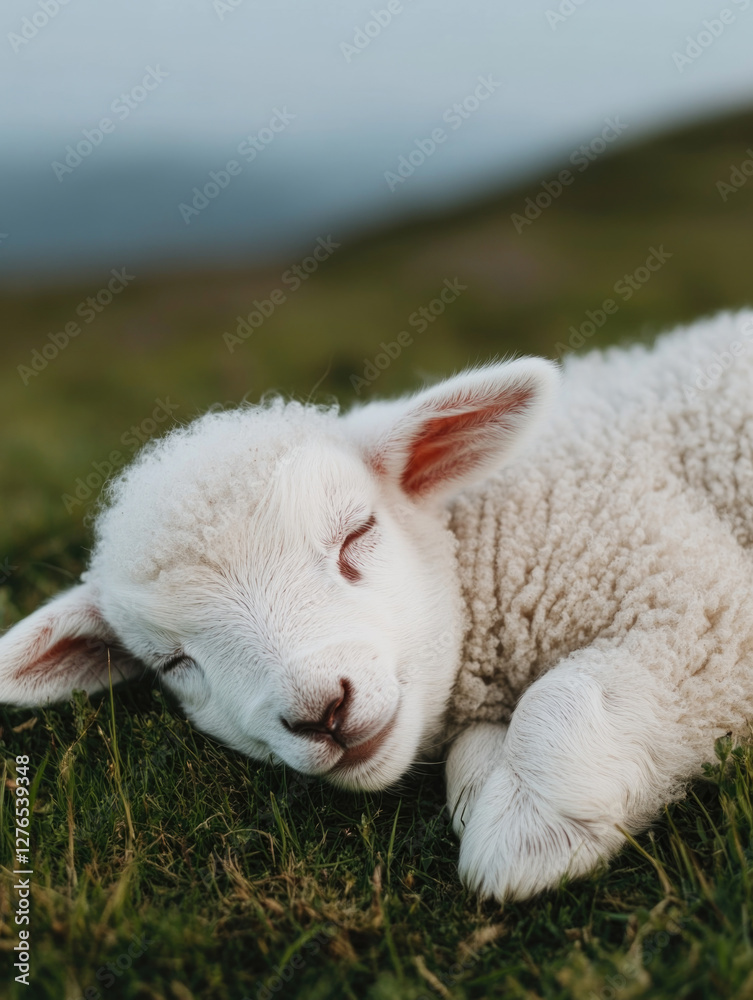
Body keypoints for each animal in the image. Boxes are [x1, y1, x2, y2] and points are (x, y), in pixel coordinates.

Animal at [2, 309, 753, 903]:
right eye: (174, 663)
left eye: (356, 534)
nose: (321, 710)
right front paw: (491, 782)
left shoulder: (691, 598)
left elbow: (567, 696)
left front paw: (528, 835)